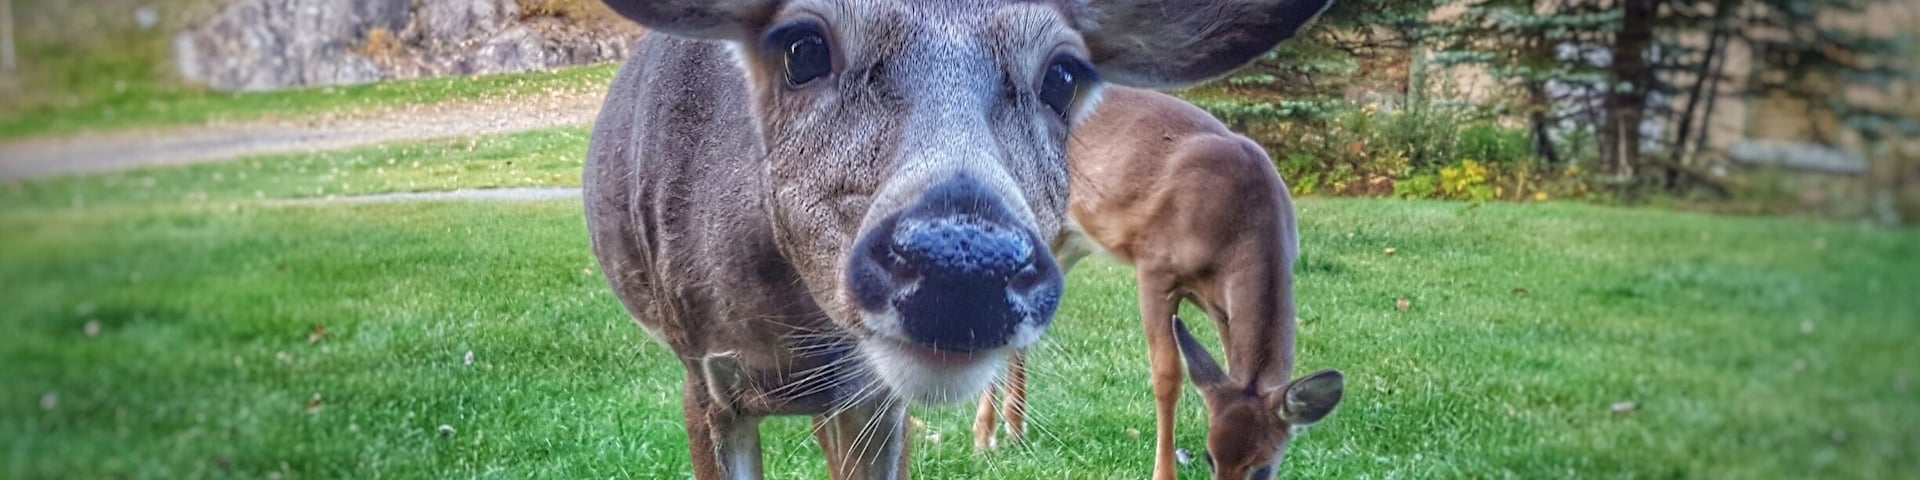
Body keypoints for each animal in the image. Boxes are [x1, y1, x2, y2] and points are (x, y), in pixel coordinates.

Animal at [969, 87, 1346, 480]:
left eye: (1264, 466)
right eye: (1210, 456)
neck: (1241, 220)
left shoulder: (1220, 302)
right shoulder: (1155, 265)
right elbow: (1167, 375)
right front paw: (1164, 471)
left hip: (1067, 239)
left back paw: (1015, 430)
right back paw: (984, 438)